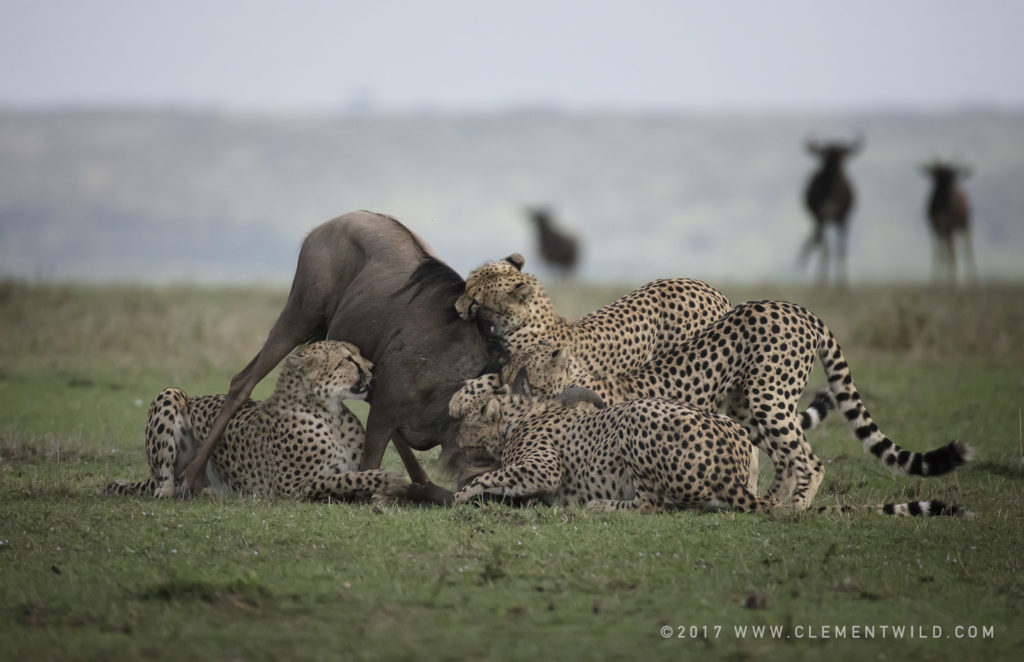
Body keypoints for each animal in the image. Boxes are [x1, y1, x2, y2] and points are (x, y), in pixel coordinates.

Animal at [103, 342, 407, 504]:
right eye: (347, 359)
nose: (372, 368)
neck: (329, 412)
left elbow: (355, 474)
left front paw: (385, 494)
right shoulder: (291, 488)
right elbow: (343, 479)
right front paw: (389, 479)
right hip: (171, 393)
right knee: (164, 483)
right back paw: (179, 490)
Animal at [450, 383, 966, 518]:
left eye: (463, 422)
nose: (452, 442)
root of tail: (734, 475)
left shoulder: (542, 468)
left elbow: (495, 476)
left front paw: (461, 493)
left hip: (637, 420)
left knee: (653, 505)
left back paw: (600, 506)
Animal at [499, 301, 970, 514]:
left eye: (528, 376)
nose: (509, 384)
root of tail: (798, 308)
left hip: (768, 398)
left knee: (809, 460)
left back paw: (794, 509)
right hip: (746, 409)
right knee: (785, 458)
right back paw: (774, 502)